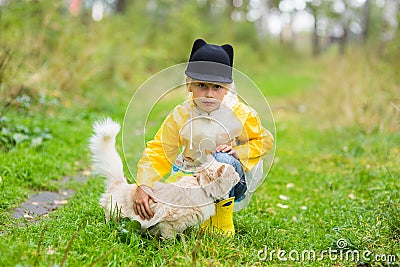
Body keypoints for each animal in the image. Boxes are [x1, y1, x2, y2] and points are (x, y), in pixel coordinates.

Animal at [89, 118, 239, 240]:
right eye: (233, 172)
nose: (238, 175)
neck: (200, 187)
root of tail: (120, 183)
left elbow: (185, 234)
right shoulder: (168, 222)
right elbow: (169, 238)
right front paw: (173, 248)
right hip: (115, 214)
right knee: (110, 221)